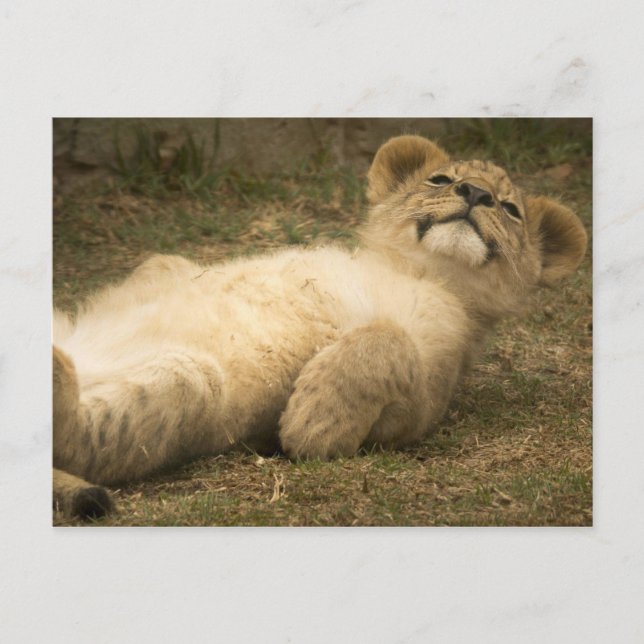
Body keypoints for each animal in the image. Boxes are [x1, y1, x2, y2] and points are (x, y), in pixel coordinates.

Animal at [53, 134, 588, 519]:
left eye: (510, 209)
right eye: (440, 180)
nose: (475, 193)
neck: (413, 267)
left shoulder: (428, 391)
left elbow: (385, 342)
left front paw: (312, 422)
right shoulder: (171, 264)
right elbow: (162, 266)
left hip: (190, 383)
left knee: (72, 440)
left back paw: (57, 368)